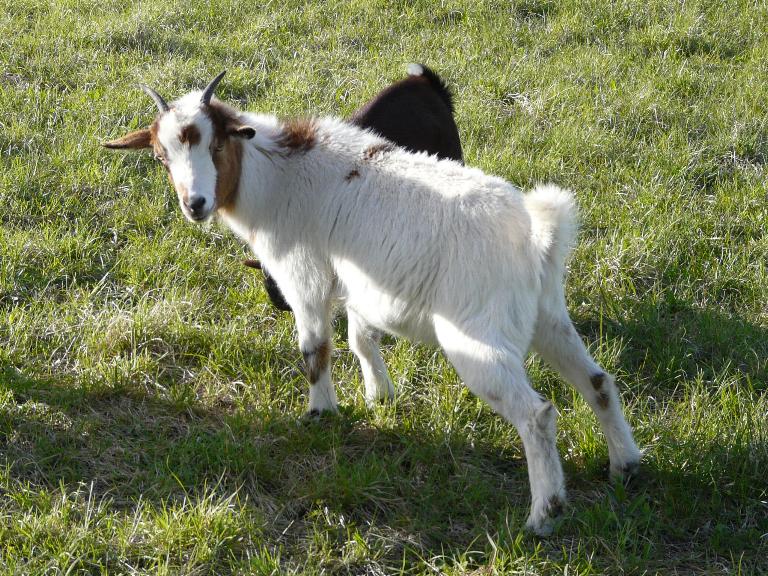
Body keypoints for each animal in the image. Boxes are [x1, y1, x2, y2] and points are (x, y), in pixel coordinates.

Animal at [105, 73, 640, 536]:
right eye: (161, 156)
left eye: (215, 144)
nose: (194, 204)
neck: (279, 176)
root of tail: (536, 237)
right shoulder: (358, 284)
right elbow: (361, 338)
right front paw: (379, 396)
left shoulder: (303, 276)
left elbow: (315, 350)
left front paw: (320, 413)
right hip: (547, 316)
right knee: (597, 381)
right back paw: (625, 465)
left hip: (477, 336)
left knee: (537, 414)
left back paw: (543, 514)